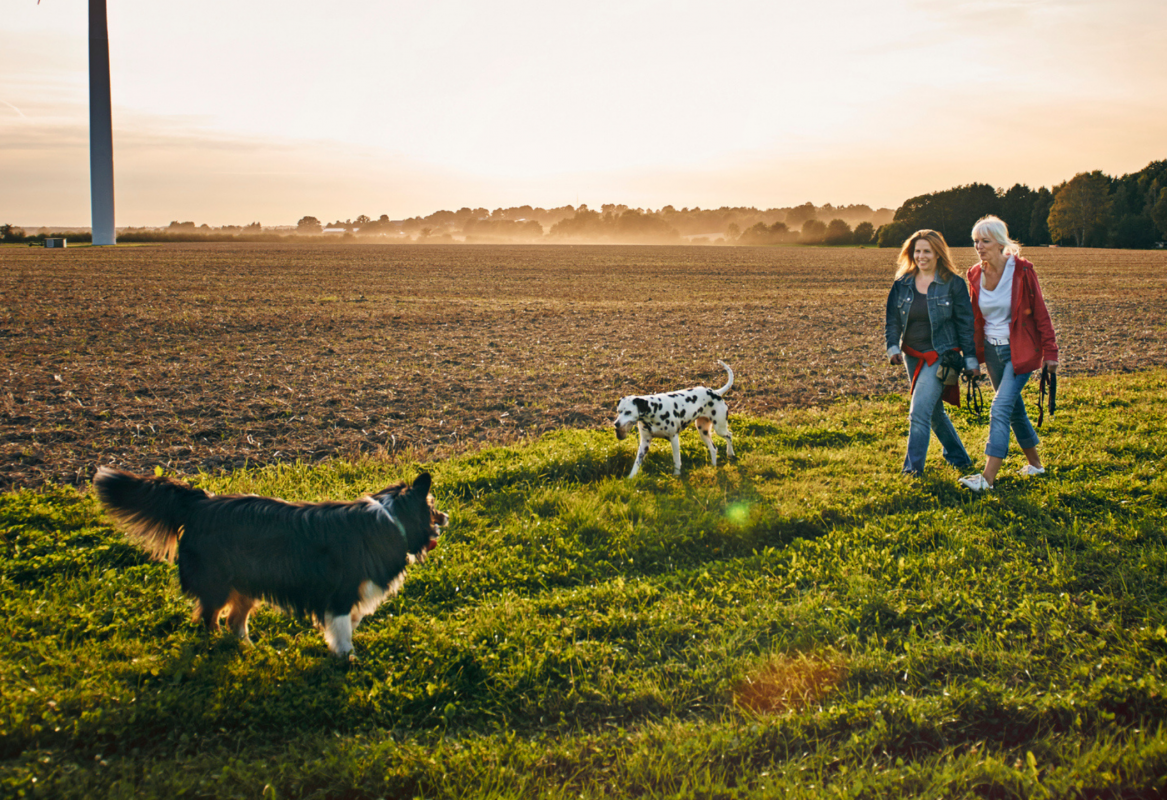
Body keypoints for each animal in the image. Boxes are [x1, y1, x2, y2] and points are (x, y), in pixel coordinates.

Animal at [91, 471, 443, 657]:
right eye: (432, 507)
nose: (448, 517)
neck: (391, 519)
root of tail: (200, 502)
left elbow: (351, 621)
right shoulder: (340, 594)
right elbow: (343, 630)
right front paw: (347, 659)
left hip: (246, 586)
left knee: (235, 622)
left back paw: (252, 649)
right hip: (218, 586)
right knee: (210, 619)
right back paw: (216, 647)